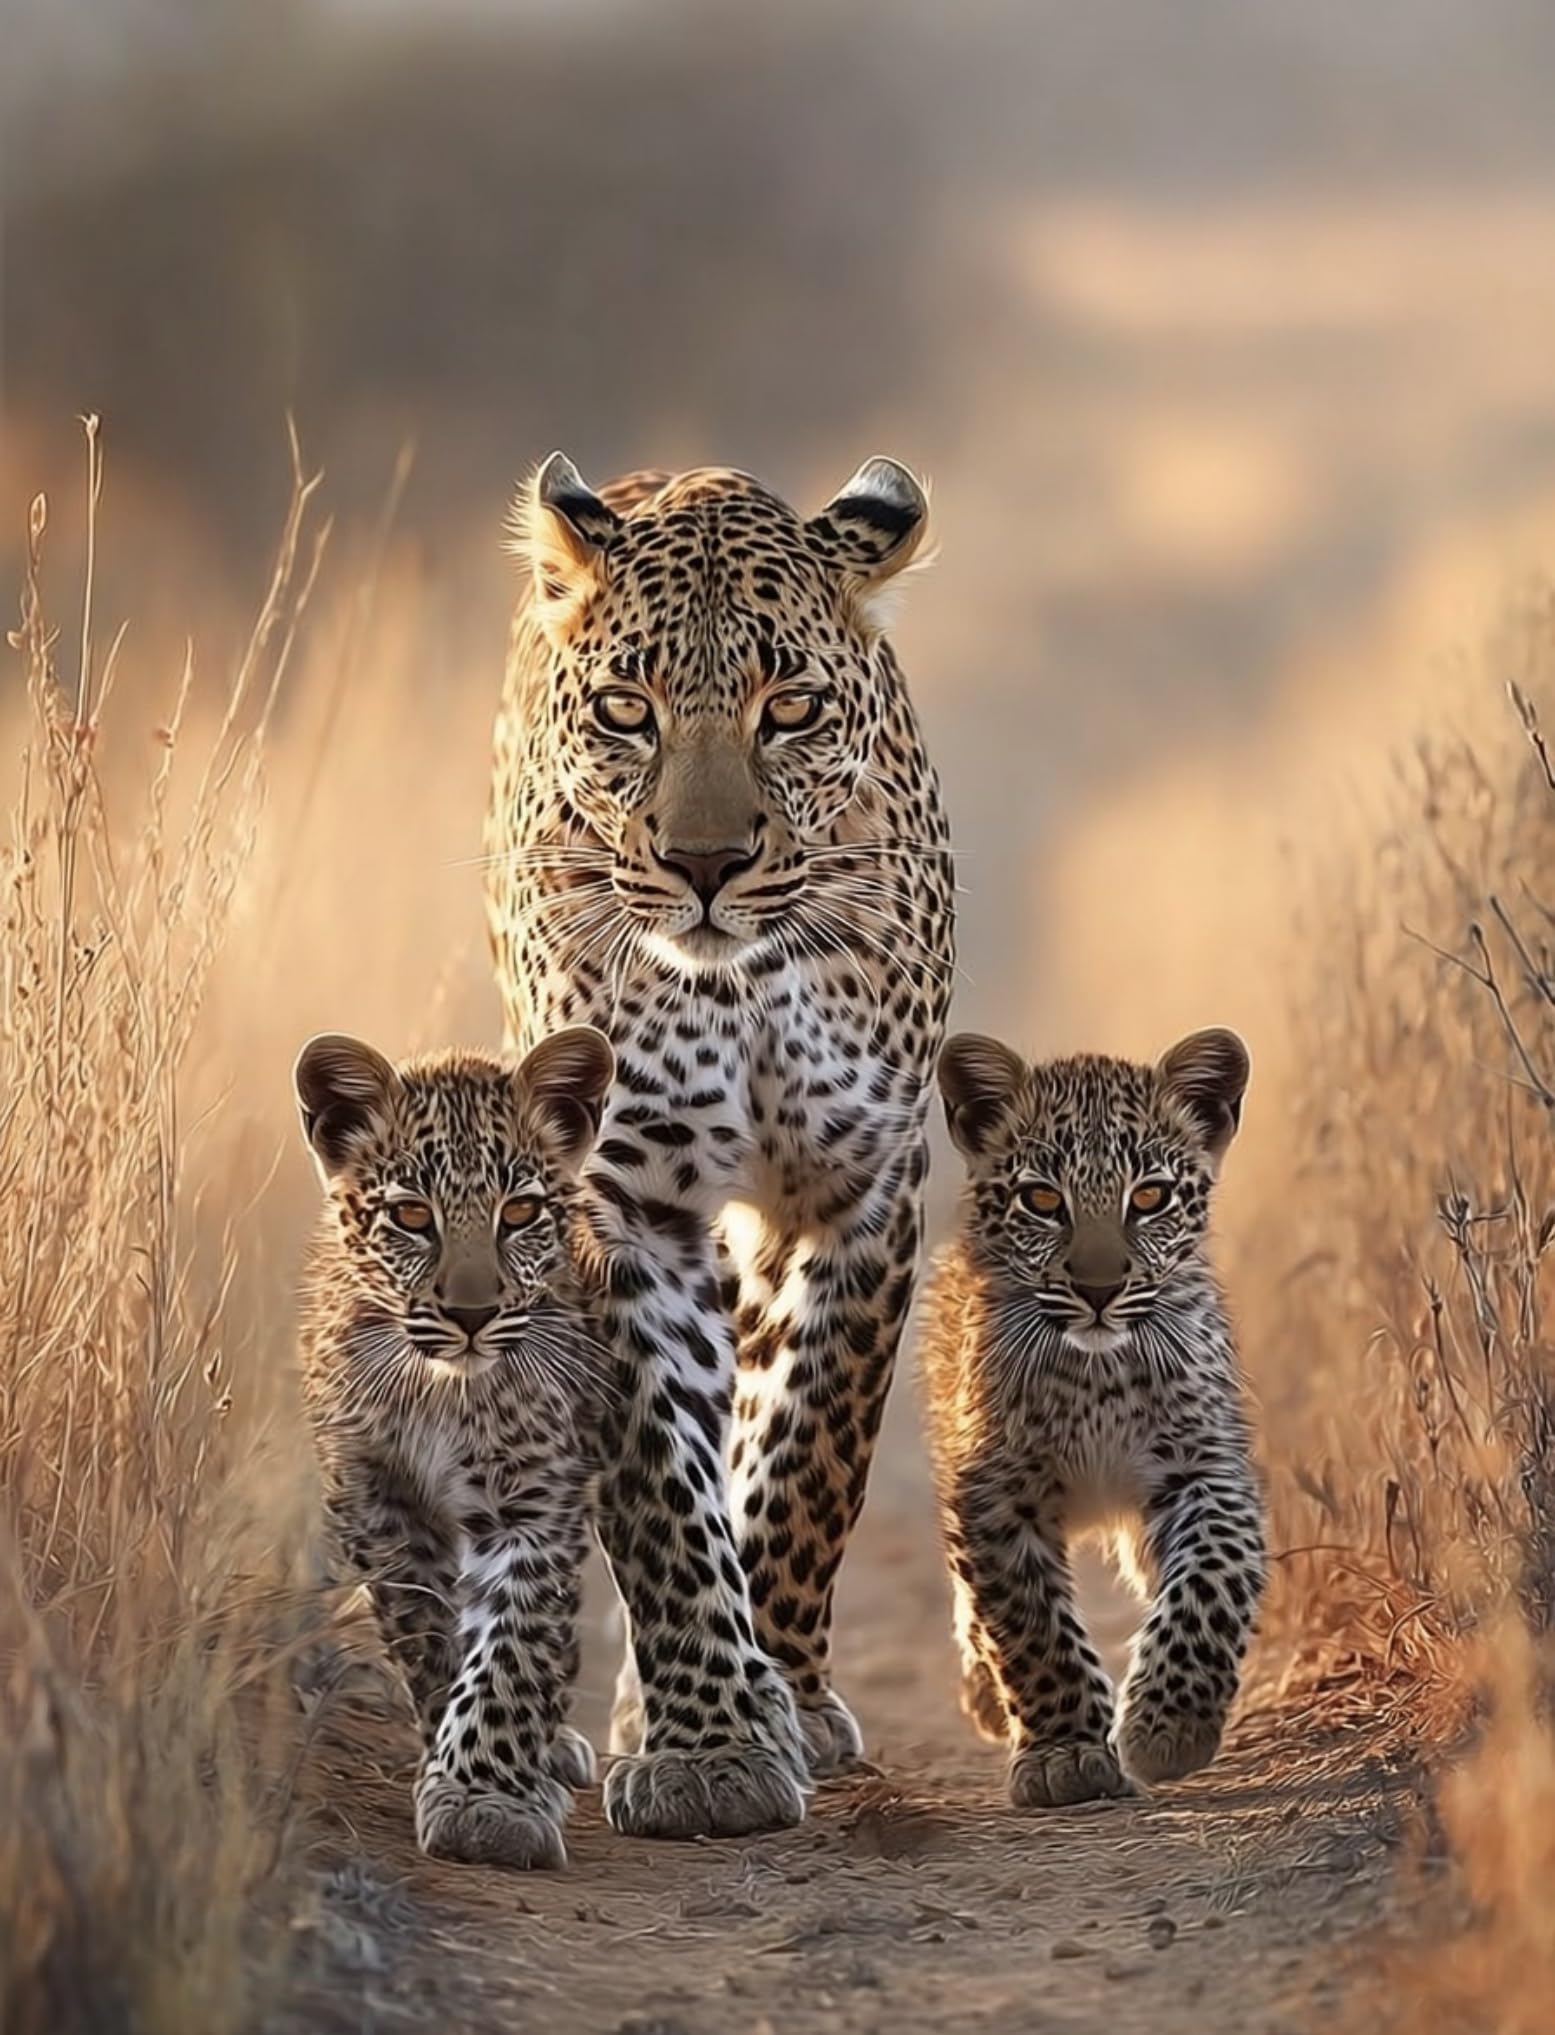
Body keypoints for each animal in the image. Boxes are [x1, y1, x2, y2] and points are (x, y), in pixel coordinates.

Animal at [294, 1023, 615, 1869]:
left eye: (522, 1210)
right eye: (411, 1215)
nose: (471, 1314)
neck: (444, 1391)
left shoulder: (534, 1497)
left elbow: (514, 1643)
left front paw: (486, 1800)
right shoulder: (377, 1498)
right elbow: (429, 1630)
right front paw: (461, 1757)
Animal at [486, 453, 955, 1839]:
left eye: (788, 709)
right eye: (626, 711)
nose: (704, 863)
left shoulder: (862, 1186)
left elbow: (806, 1450)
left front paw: (776, 1697)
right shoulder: (621, 1201)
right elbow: (657, 1479)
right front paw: (711, 1745)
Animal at [920, 1025, 1267, 1809]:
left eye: (1150, 1196)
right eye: (1043, 1199)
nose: (1101, 1288)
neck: (1095, 1377)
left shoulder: (1203, 1466)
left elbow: (1210, 1581)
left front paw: (1170, 1726)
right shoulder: (993, 1489)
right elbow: (1028, 1623)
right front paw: (1065, 1754)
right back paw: (985, 1694)